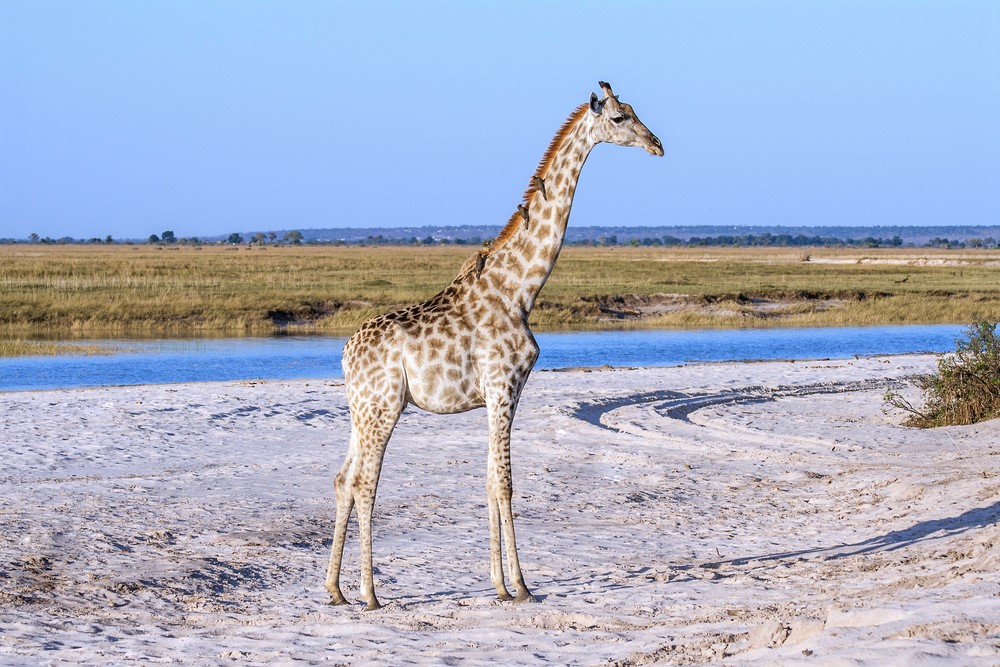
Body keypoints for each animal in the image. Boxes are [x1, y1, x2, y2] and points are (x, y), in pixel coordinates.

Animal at [324, 79, 660, 612]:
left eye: (633, 111)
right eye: (620, 118)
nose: (657, 144)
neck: (519, 290)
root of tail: (345, 353)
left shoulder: (504, 394)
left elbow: (488, 480)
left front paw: (499, 584)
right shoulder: (503, 387)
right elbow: (505, 481)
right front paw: (522, 586)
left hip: (361, 410)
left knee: (342, 479)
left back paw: (334, 589)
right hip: (384, 408)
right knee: (364, 483)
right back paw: (369, 592)